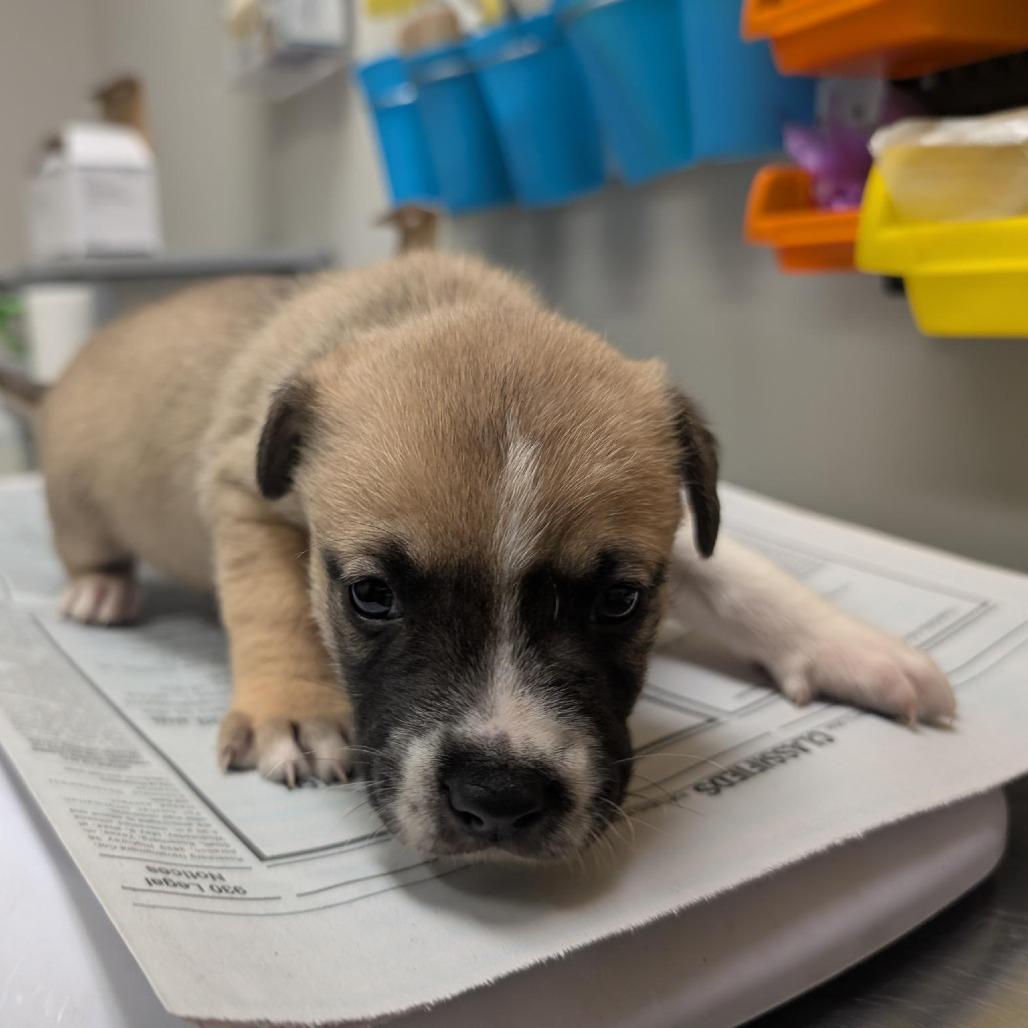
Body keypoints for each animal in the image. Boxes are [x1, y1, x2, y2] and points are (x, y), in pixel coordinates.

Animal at [4, 252, 955, 862]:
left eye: (620, 601)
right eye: (371, 595)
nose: (500, 801)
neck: (435, 304)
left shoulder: (671, 540)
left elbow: (736, 571)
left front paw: (855, 650)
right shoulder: (245, 498)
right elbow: (273, 608)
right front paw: (295, 712)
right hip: (80, 507)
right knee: (90, 550)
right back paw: (100, 592)